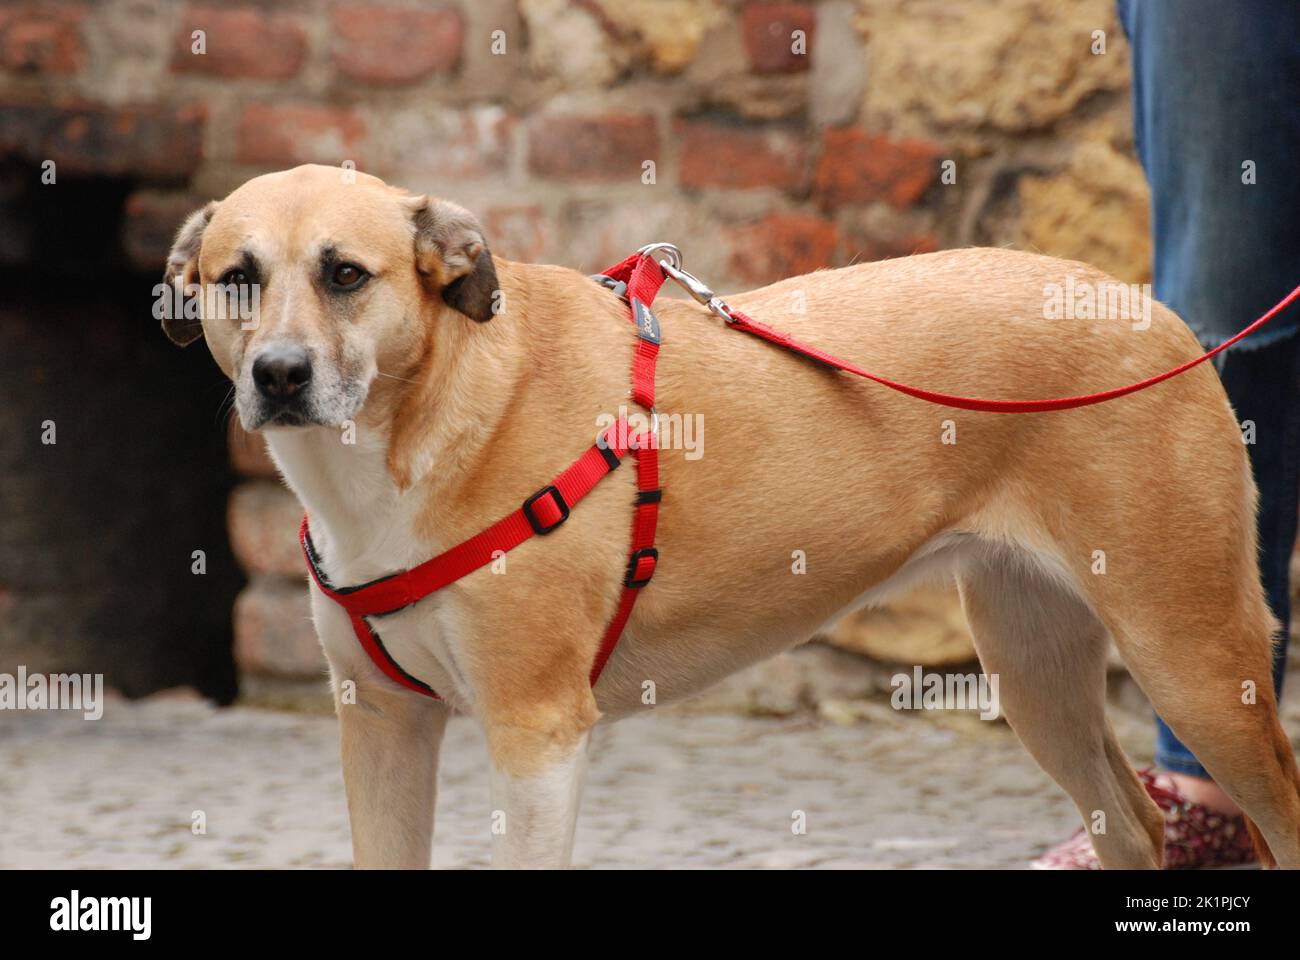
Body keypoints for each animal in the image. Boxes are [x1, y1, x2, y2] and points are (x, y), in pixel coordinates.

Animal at [167, 164, 1294, 868]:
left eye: (345, 275)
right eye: (237, 280)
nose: (278, 376)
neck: (408, 434)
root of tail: (1142, 307)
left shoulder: (536, 735)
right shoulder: (382, 727)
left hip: (1194, 658)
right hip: (1035, 666)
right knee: (1131, 825)